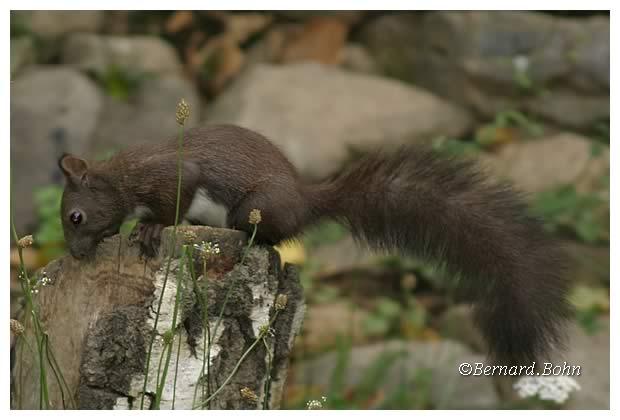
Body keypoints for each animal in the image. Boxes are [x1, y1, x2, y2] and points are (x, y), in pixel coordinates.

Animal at [58, 124, 572, 364]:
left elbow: (171, 208)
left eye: (75, 216)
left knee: (265, 238)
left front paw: (148, 229)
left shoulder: (174, 176)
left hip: (254, 207)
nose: (75, 255)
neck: (123, 178)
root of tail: (305, 200)